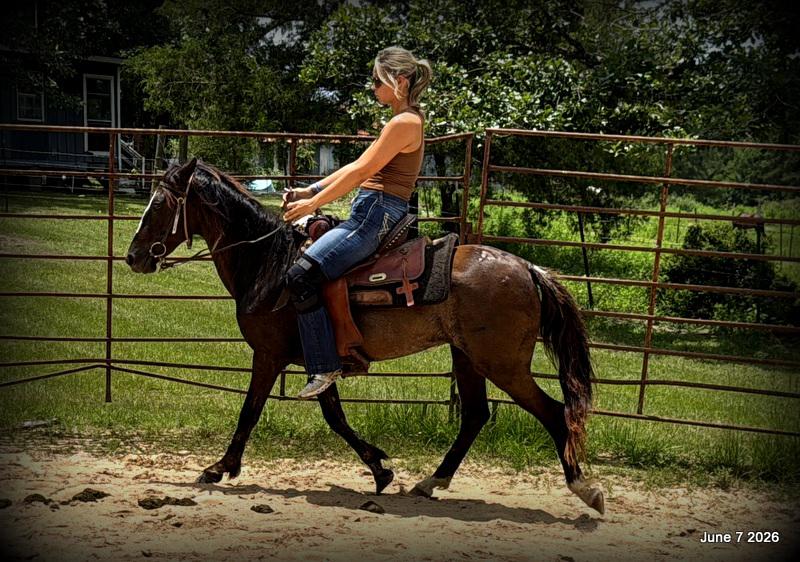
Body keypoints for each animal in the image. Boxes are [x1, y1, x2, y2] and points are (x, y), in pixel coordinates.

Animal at [125, 158, 604, 514]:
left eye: (158, 205)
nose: (133, 257)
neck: (269, 266)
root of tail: (528, 268)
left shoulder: (269, 356)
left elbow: (250, 412)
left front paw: (218, 467)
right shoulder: (321, 363)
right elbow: (335, 417)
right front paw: (380, 469)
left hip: (501, 363)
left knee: (554, 412)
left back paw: (585, 489)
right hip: (467, 358)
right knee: (474, 416)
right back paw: (431, 481)